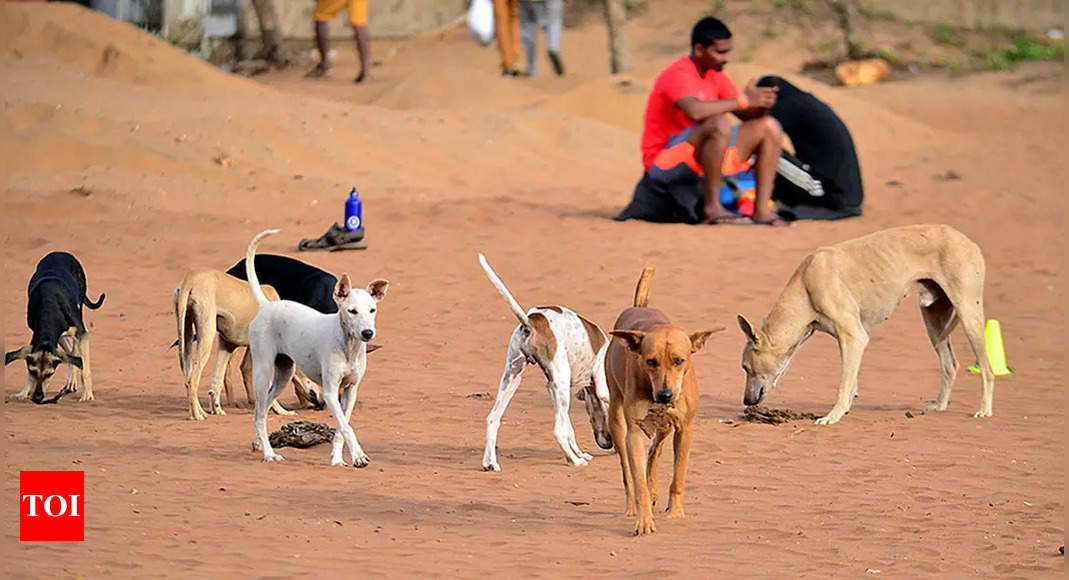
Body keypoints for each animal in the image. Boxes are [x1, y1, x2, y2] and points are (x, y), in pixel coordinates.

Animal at [5, 252, 104, 405]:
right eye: (33, 371)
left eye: (49, 374)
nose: (37, 397)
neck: (49, 308)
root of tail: (59, 252)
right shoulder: (40, 336)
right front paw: (23, 392)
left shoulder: (82, 333)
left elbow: (85, 369)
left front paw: (87, 395)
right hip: (59, 336)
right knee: (70, 351)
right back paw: (70, 382)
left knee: (74, 352)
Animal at [245, 229, 389, 465]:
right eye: (352, 311)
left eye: (372, 310)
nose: (368, 333)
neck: (347, 346)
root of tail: (267, 305)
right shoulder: (330, 392)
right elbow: (347, 428)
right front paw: (359, 456)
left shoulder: (350, 391)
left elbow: (341, 428)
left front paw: (337, 460)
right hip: (263, 371)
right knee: (258, 413)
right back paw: (269, 454)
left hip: (284, 374)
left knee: (262, 411)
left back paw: (259, 443)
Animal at [476, 254, 611, 472]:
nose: (609, 444)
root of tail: (531, 321)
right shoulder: (597, 388)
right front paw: (578, 455)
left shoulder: (554, 388)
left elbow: (570, 428)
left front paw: (579, 451)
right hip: (558, 383)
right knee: (557, 430)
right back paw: (574, 461)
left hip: (513, 378)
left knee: (492, 418)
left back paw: (490, 463)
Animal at [607, 268, 722, 536]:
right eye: (651, 361)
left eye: (679, 360)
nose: (665, 395)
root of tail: (639, 306)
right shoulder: (634, 432)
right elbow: (638, 480)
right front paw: (644, 520)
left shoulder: (684, 428)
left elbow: (678, 475)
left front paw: (676, 512)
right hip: (616, 418)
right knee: (627, 468)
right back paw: (632, 504)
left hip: (665, 425)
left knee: (655, 450)